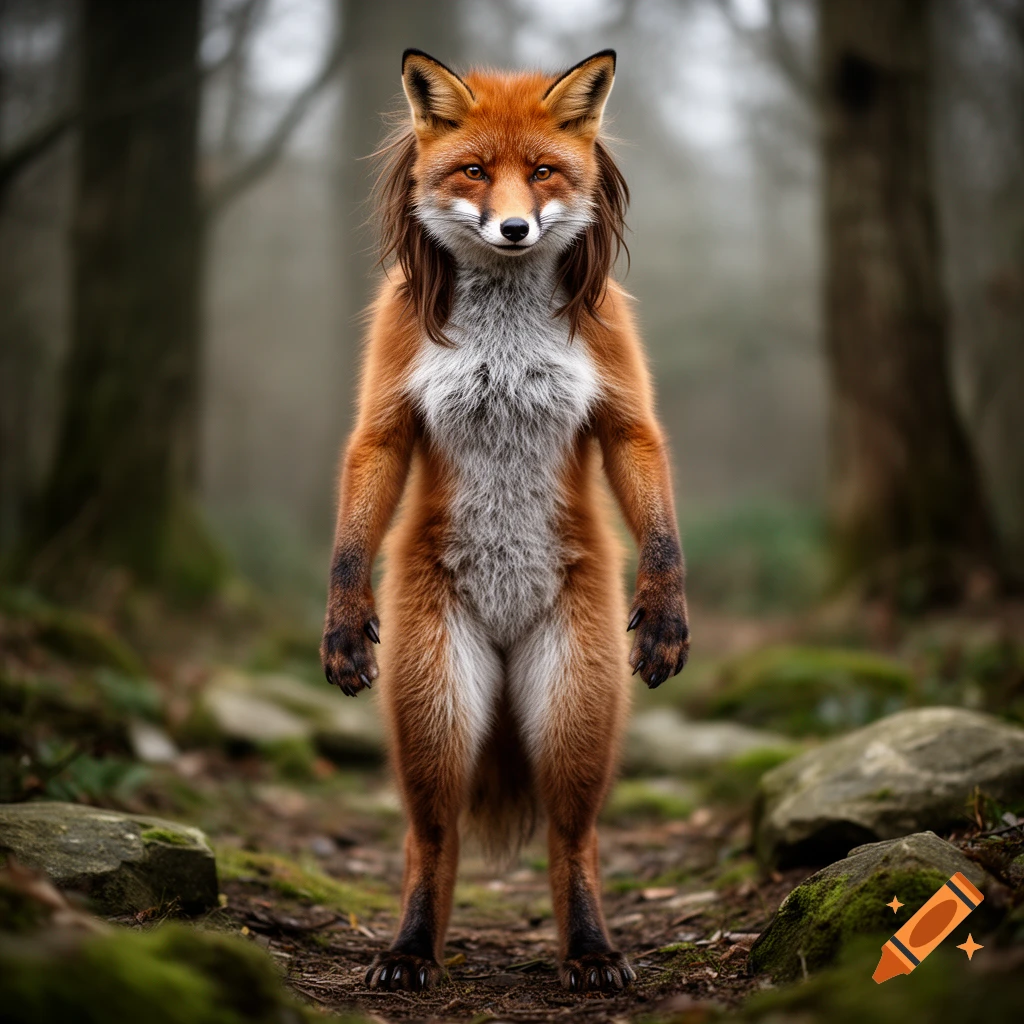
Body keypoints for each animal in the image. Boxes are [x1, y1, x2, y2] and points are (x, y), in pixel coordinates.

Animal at [320, 48, 689, 994]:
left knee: (574, 837)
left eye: (546, 173)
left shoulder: (620, 376)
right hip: (439, 703)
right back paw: (411, 949)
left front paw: (667, 612)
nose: (516, 230)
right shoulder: (388, 380)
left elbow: (649, 477)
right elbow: (364, 480)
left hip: (570, 705)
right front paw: (341, 624)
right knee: (431, 837)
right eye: (477, 172)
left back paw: (590, 950)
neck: (507, 335)